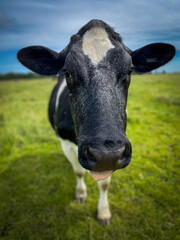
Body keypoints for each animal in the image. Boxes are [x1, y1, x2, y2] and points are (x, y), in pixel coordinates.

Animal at [17, 19, 176, 226]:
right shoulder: (65, 142)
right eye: (67, 73)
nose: (105, 154)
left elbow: (105, 184)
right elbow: (78, 172)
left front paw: (104, 212)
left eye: (129, 71)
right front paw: (80, 194)